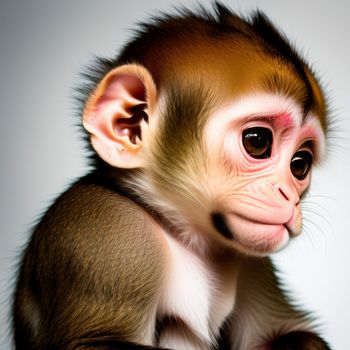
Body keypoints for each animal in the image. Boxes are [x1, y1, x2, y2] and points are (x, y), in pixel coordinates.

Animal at [12, 2, 332, 350]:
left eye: (300, 164)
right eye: (258, 142)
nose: (288, 195)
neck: (183, 234)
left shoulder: (253, 265)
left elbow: (284, 332)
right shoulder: (109, 231)